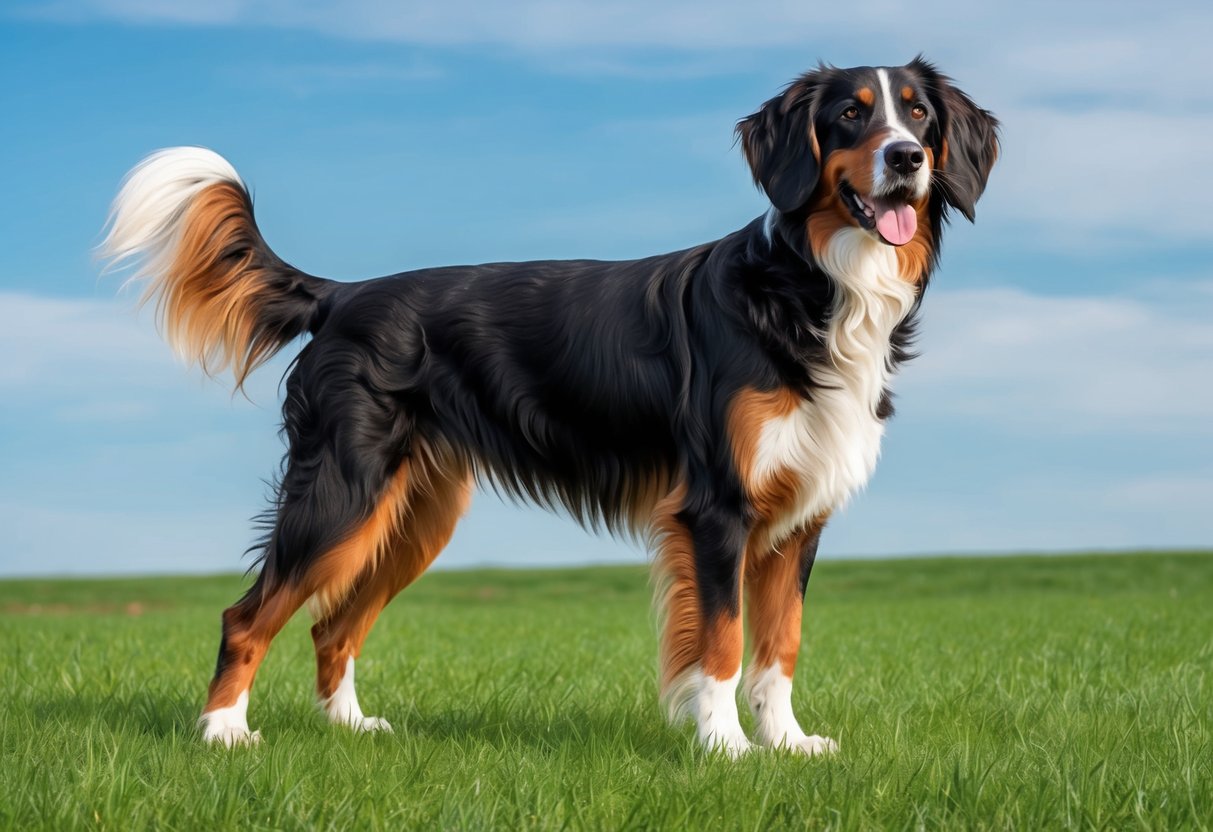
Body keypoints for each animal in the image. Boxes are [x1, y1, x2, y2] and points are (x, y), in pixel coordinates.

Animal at [101, 57, 994, 756]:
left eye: (918, 113)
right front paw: (725, 748)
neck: (807, 287)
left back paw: (349, 728)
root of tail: (344, 294)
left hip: (416, 513)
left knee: (333, 624)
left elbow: (780, 646)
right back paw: (222, 732)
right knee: (247, 615)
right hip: (340, 493)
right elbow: (721, 642)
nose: (905, 157)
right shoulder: (717, 510)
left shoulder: (798, 516)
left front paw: (786, 744)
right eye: (849, 114)